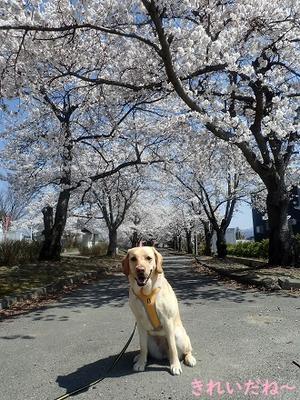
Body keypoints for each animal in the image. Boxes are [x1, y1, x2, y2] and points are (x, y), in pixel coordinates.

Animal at [122, 247, 197, 376]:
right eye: (133, 258)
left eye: (149, 258)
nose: (140, 270)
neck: (146, 293)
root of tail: (163, 354)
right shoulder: (140, 323)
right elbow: (142, 346)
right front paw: (141, 363)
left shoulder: (167, 321)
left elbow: (172, 348)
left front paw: (175, 365)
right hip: (149, 339)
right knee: (146, 349)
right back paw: (139, 357)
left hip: (179, 336)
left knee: (186, 350)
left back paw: (189, 358)